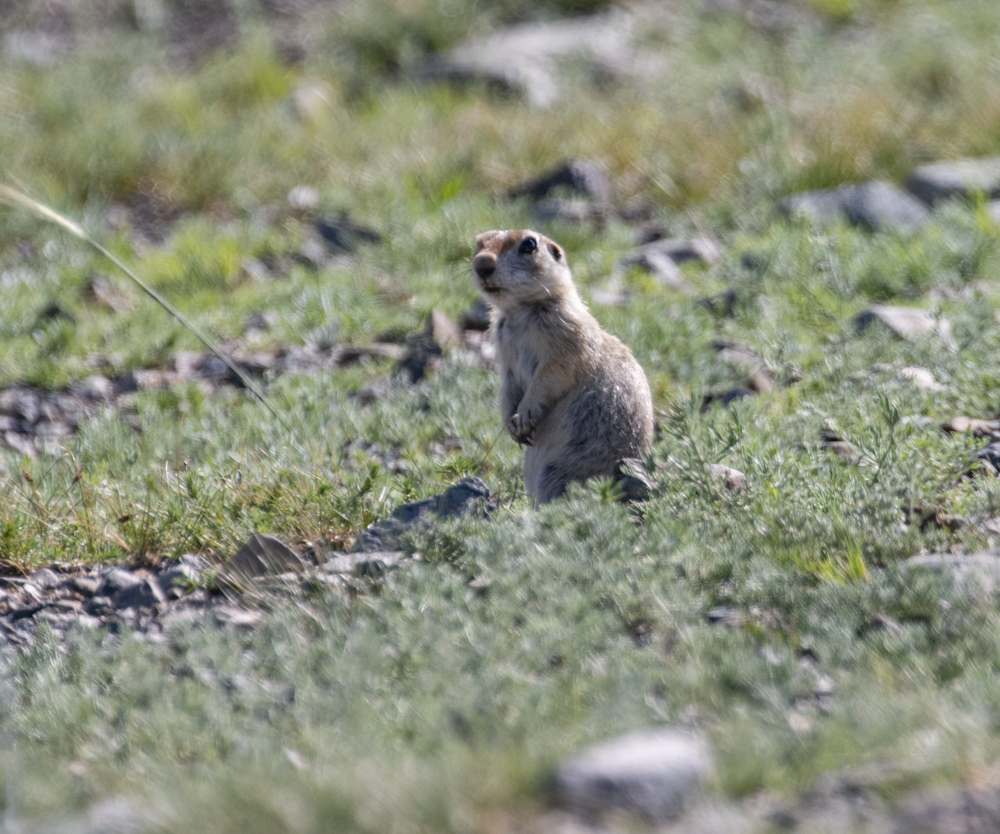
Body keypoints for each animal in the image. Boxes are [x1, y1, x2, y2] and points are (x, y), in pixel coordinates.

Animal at [473, 229, 654, 504]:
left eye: (529, 245)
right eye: (478, 243)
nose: (481, 263)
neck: (520, 311)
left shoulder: (567, 334)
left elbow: (553, 373)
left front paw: (524, 414)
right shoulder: (503, 348)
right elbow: (508, 384)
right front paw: (510, 424)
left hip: (560, 472)